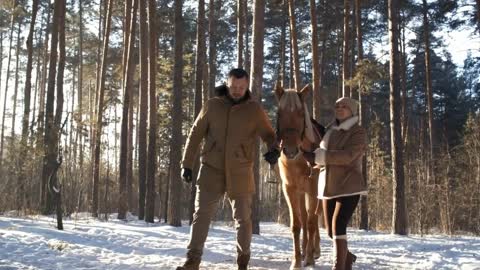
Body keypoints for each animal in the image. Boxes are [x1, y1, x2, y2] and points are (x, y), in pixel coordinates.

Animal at [272, 81, 324, 268]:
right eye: (279, 113)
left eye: (301, 114)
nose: (290, 150)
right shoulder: (290, 189)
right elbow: (297, 224)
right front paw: (296, 260)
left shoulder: (313, 190)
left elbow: (311, 222)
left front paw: (309, 258)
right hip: (301, 193)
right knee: (304, 216)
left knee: (313, 218)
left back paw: (314, 251)